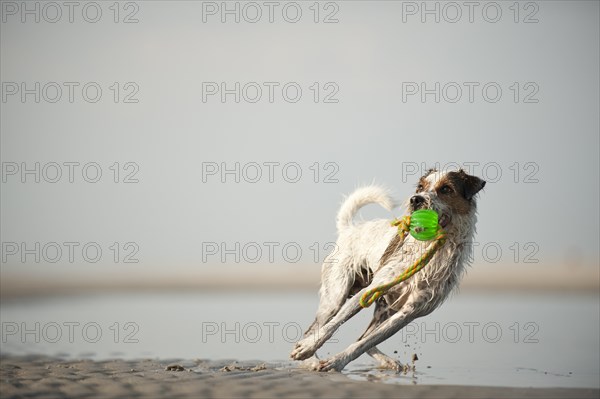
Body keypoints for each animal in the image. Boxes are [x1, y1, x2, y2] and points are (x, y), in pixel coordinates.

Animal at [292, 169, 488, 372]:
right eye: (420, 187)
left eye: (446, 189)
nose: (415, 199)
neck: (429, 249)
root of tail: (350, 229)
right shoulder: (371, 289)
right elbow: (334, 324)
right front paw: (308, 348)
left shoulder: (408, 313)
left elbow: (363, 344)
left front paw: (336, 362)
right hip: (335, 297)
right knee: (315, 328)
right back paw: (310, 358)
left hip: (385, 308)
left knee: (364, 339)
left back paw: (387, 361)